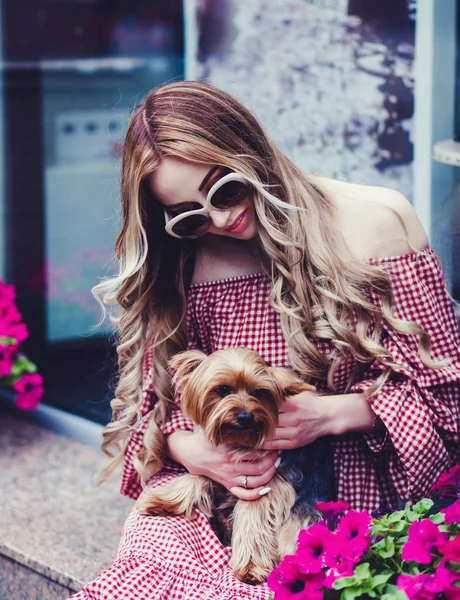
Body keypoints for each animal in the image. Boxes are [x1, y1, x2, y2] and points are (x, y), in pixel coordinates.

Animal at [137, 344, 334, 584]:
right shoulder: (212, 462)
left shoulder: (269, 485)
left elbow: (252, 518)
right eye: (222, 390)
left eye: (258, 392)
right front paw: (163, 500)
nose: (245, 417)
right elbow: (195, 475)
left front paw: (251, 566)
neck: (238, 440)